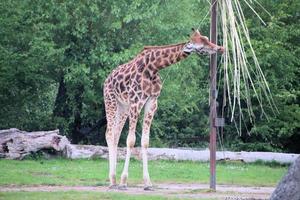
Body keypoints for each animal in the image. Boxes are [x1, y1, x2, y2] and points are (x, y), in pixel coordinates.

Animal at [103, 28, 223, 190]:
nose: (220, 48)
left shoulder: (152, 102)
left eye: (206, 38)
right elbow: (131, 140)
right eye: (201, 44)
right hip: (111, 101)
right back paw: (113, 180)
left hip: (123, 107)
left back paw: (113, 179)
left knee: (115, 134)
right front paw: (124, 181)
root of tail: (107, 79)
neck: (153, 68)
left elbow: (145, 141)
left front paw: (147, 183)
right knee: (109, 134)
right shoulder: (136, 101)